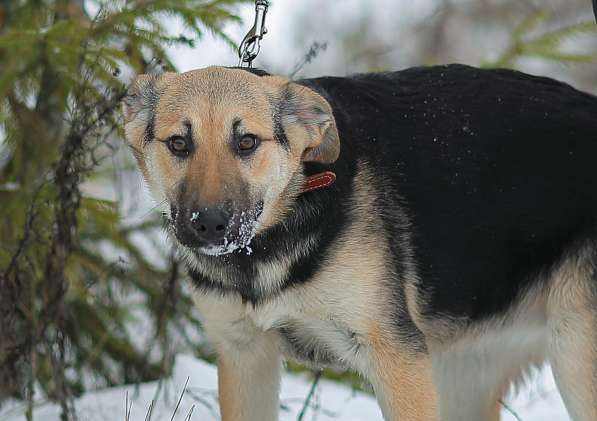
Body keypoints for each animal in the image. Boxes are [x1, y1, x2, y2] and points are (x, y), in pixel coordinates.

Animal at [122, 64, 596, 418]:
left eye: (246, 142)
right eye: (179, 143)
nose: (209, 224)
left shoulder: (396, 357)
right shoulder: (245, 355)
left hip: (573, 358)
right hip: (464, 376)